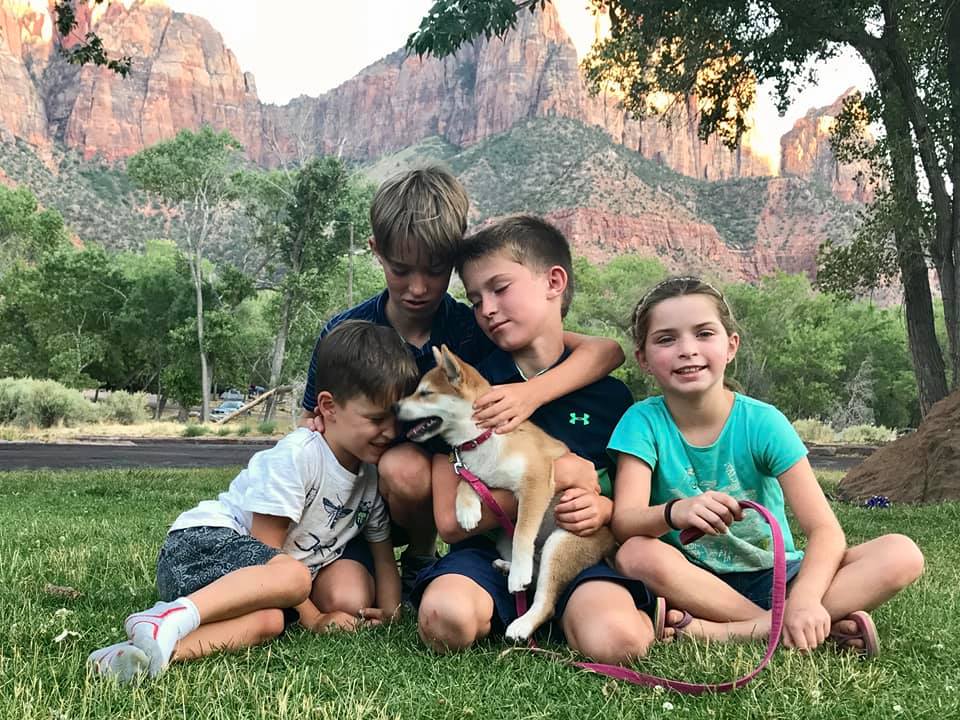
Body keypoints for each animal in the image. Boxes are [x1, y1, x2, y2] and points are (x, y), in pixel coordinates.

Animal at [396, 346, 616, 640]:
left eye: (425, 393)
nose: (394, 406)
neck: (482, 438)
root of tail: (611, 541)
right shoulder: (476, 473)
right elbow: (466, 482)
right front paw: (467, 510)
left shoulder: (536, 481)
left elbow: (522, 532)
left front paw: (519, 571)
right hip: (504, 537)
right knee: (534, 574)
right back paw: (507, 568)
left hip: (561, 542)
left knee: (545, 598)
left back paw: (521, 617)